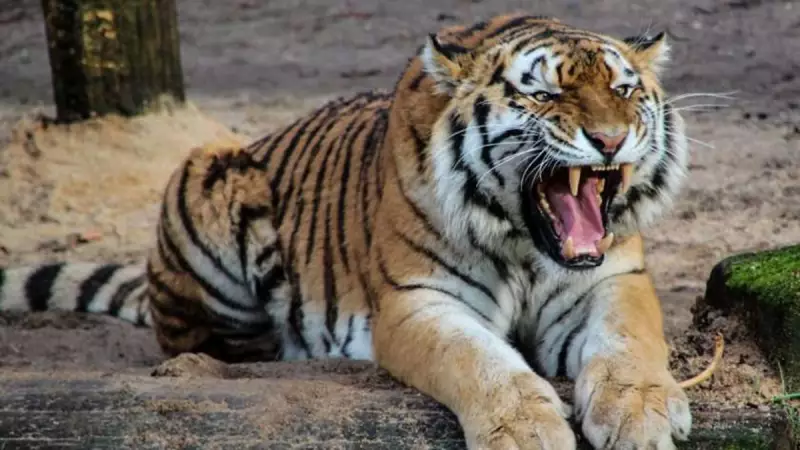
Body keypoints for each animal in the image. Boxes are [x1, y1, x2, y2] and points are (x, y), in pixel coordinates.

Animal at [0, 14, 692, 450]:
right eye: (544, 95)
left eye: (624, 90)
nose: (609, 140)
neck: (526, 244)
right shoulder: (417, 302)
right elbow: (479, 361)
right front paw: (527, 432)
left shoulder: (613, 279)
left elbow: (630, 343)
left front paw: (642, 414)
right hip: (207, 171)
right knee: (204, 342)